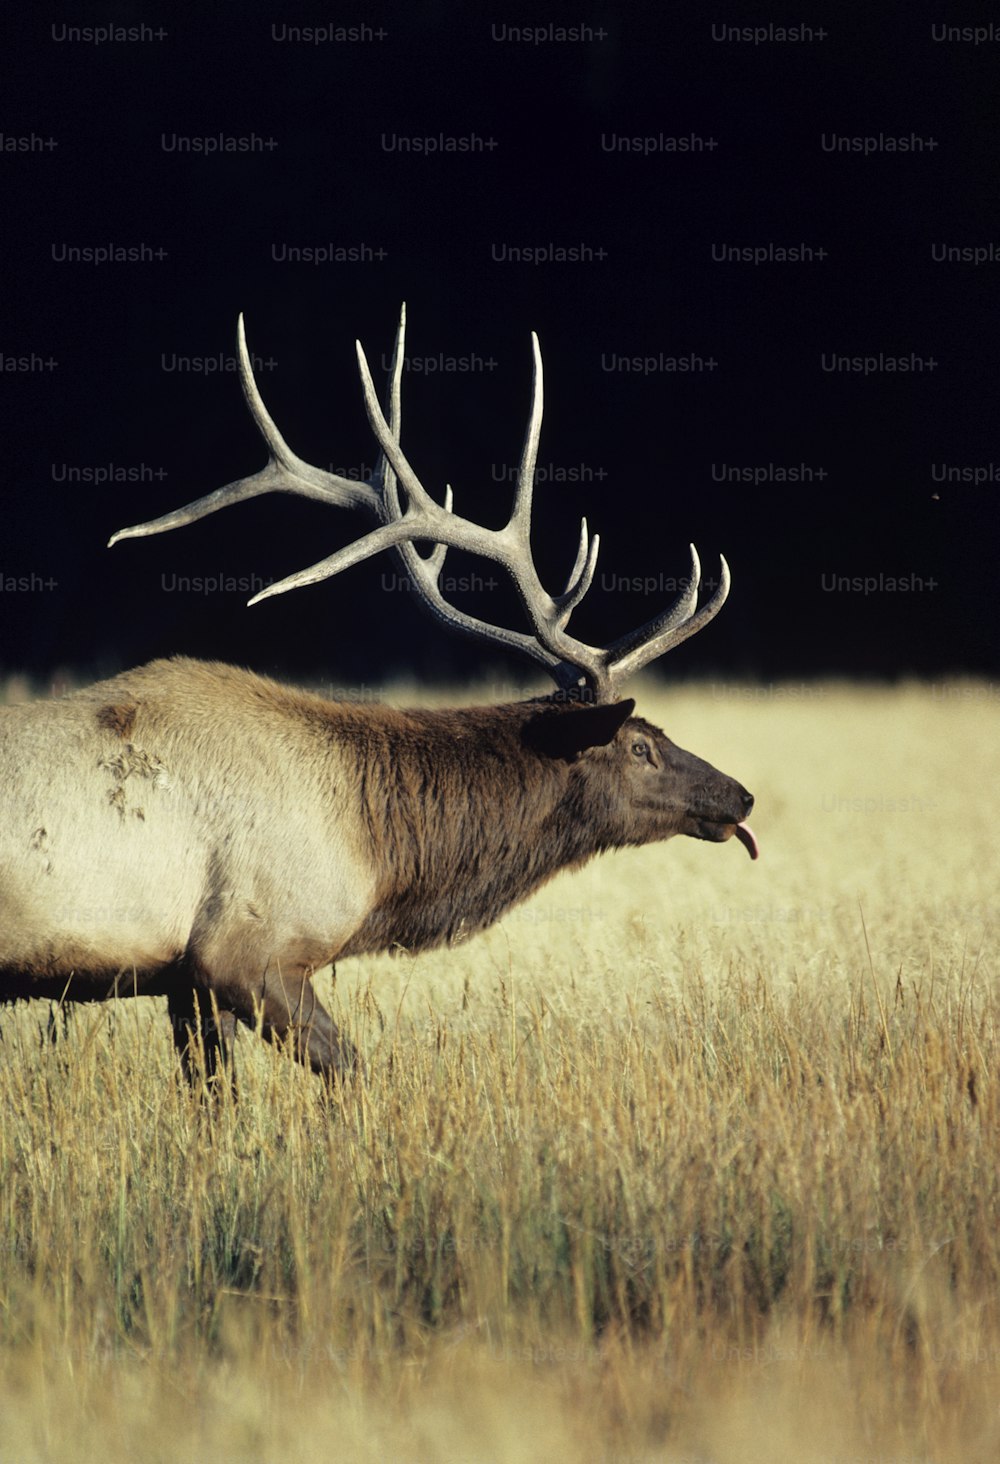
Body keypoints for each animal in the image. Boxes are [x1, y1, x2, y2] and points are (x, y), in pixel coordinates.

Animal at [0, 305, 755, 1089]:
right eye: (640, 746)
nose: (741, 795)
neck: (376, 852)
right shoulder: (246, 952)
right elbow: (354, 1073)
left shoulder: (186, 982)